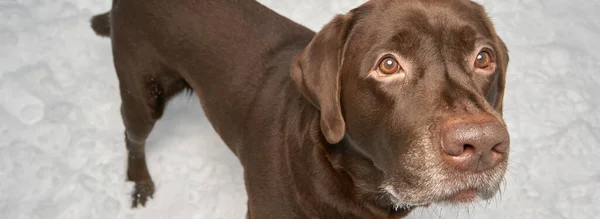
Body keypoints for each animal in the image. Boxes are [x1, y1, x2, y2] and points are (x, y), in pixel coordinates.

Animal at [90, 0, 510, 217]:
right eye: (388, 65)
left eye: (484, 58)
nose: (481, 145)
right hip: (143, 94)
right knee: (132, 136)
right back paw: (140, 183)